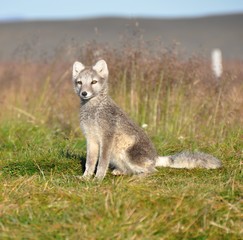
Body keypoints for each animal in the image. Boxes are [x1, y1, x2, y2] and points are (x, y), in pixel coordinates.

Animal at [71, 59, 221, 180]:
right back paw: (121, 172)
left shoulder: (106, 138)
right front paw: (85, 178)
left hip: (130, 154)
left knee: (153, 170)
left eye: (93, 82)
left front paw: (98, 179)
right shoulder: (90, 139)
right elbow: (90, 163)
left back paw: (138, 177)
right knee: (132, 169)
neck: (93, 111)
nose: (84, 93)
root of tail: (155, 157)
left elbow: (101, 163)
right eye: (79, 82)